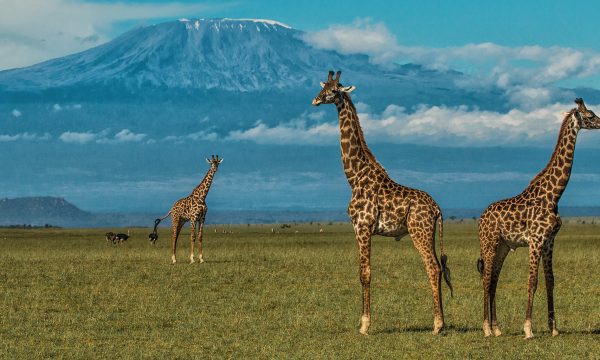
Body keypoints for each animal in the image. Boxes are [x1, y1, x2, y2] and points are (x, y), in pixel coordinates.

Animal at [314, 71, 450, 336]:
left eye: (334, 91)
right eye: (323, 87)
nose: (315, 100)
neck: (354, 176)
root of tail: (437, 208)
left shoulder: (362, 226)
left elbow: (365, 273)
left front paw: (365, 325)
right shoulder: (361, 228)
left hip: (419, 231)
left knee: (432, 266)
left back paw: (438, 325)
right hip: (428, 233)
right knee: (438, 267)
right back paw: (441, 322)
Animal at [478, 97, 600, 338]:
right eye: (590, 115)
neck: (553, 195)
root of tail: (480, 219)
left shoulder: (549, 240)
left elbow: (550, 280)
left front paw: (554, 328)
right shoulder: (535, 240)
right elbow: (532, 282)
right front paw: (528, 329)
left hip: (503, 246)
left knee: (494, 280)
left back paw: (497, 328)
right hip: (489, 243)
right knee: (486, 280)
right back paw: (486, 328)